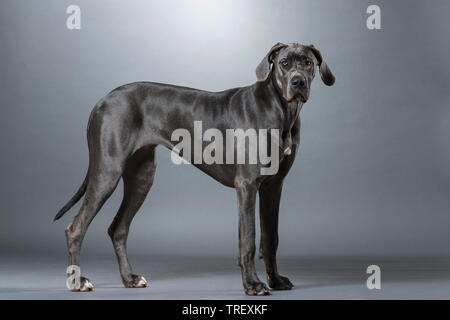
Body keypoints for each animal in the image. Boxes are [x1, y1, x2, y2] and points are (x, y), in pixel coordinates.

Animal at [54, 42, 334, 296]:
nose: (298, 82)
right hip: (107, 172)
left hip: (142, 177)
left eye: (308, 62)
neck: (281, 110)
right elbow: (249, 239)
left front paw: (275, 280)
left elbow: (270, 237)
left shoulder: (273, 187)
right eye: (284, 63)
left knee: (118, 228)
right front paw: (252, 285)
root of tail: (102, 100)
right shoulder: (247, 185)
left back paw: (130, 279)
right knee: (75, 228)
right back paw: (78, 282)